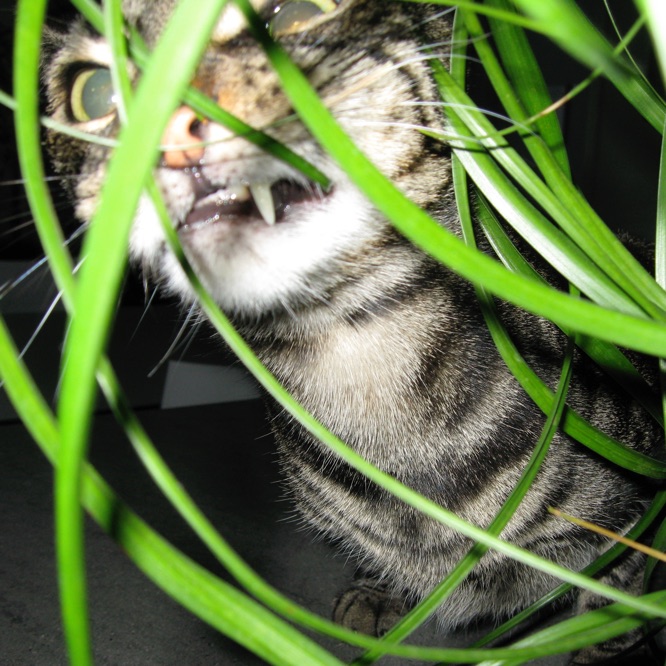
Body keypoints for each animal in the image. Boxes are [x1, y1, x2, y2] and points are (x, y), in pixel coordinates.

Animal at [44, 0, 660, 660]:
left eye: (297, 15)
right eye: (94, 92)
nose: (171, 128)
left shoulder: (631, 524)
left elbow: (615, 610)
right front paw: (377, 591)